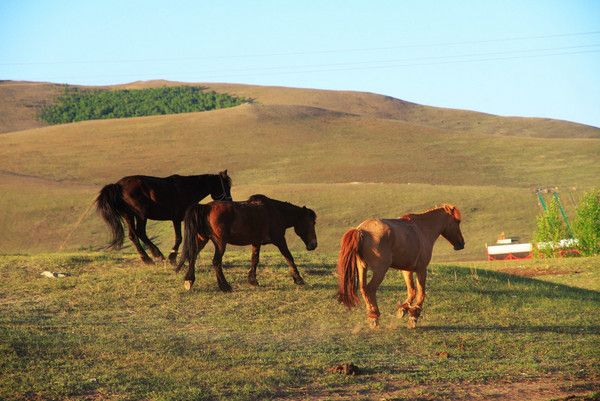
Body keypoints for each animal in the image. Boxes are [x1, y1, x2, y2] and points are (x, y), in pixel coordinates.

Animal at [96, 170, 232, 264]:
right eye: (226, 186)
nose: (229, 202)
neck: (187, 189)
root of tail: (118, 186)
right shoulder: (176, 219)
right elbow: (179, 238)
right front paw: (172, 257)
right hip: (141, 215)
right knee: (140, 232)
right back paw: (156, 255)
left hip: (128, 215)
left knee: (133, 235)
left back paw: (146, 258)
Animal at [176, 194, 316, 290]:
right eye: (311, 222)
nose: (313, 245)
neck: (275, 212)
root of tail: (206, 207)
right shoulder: (279, 240)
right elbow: (289, 257)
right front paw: (299, 279)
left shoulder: (256, 242)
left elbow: (255, 260)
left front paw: (253, 280)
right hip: (220, 243)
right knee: (216, 261)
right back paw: (225, 286)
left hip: (202, 239)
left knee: (193, 256)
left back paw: (189, 280)